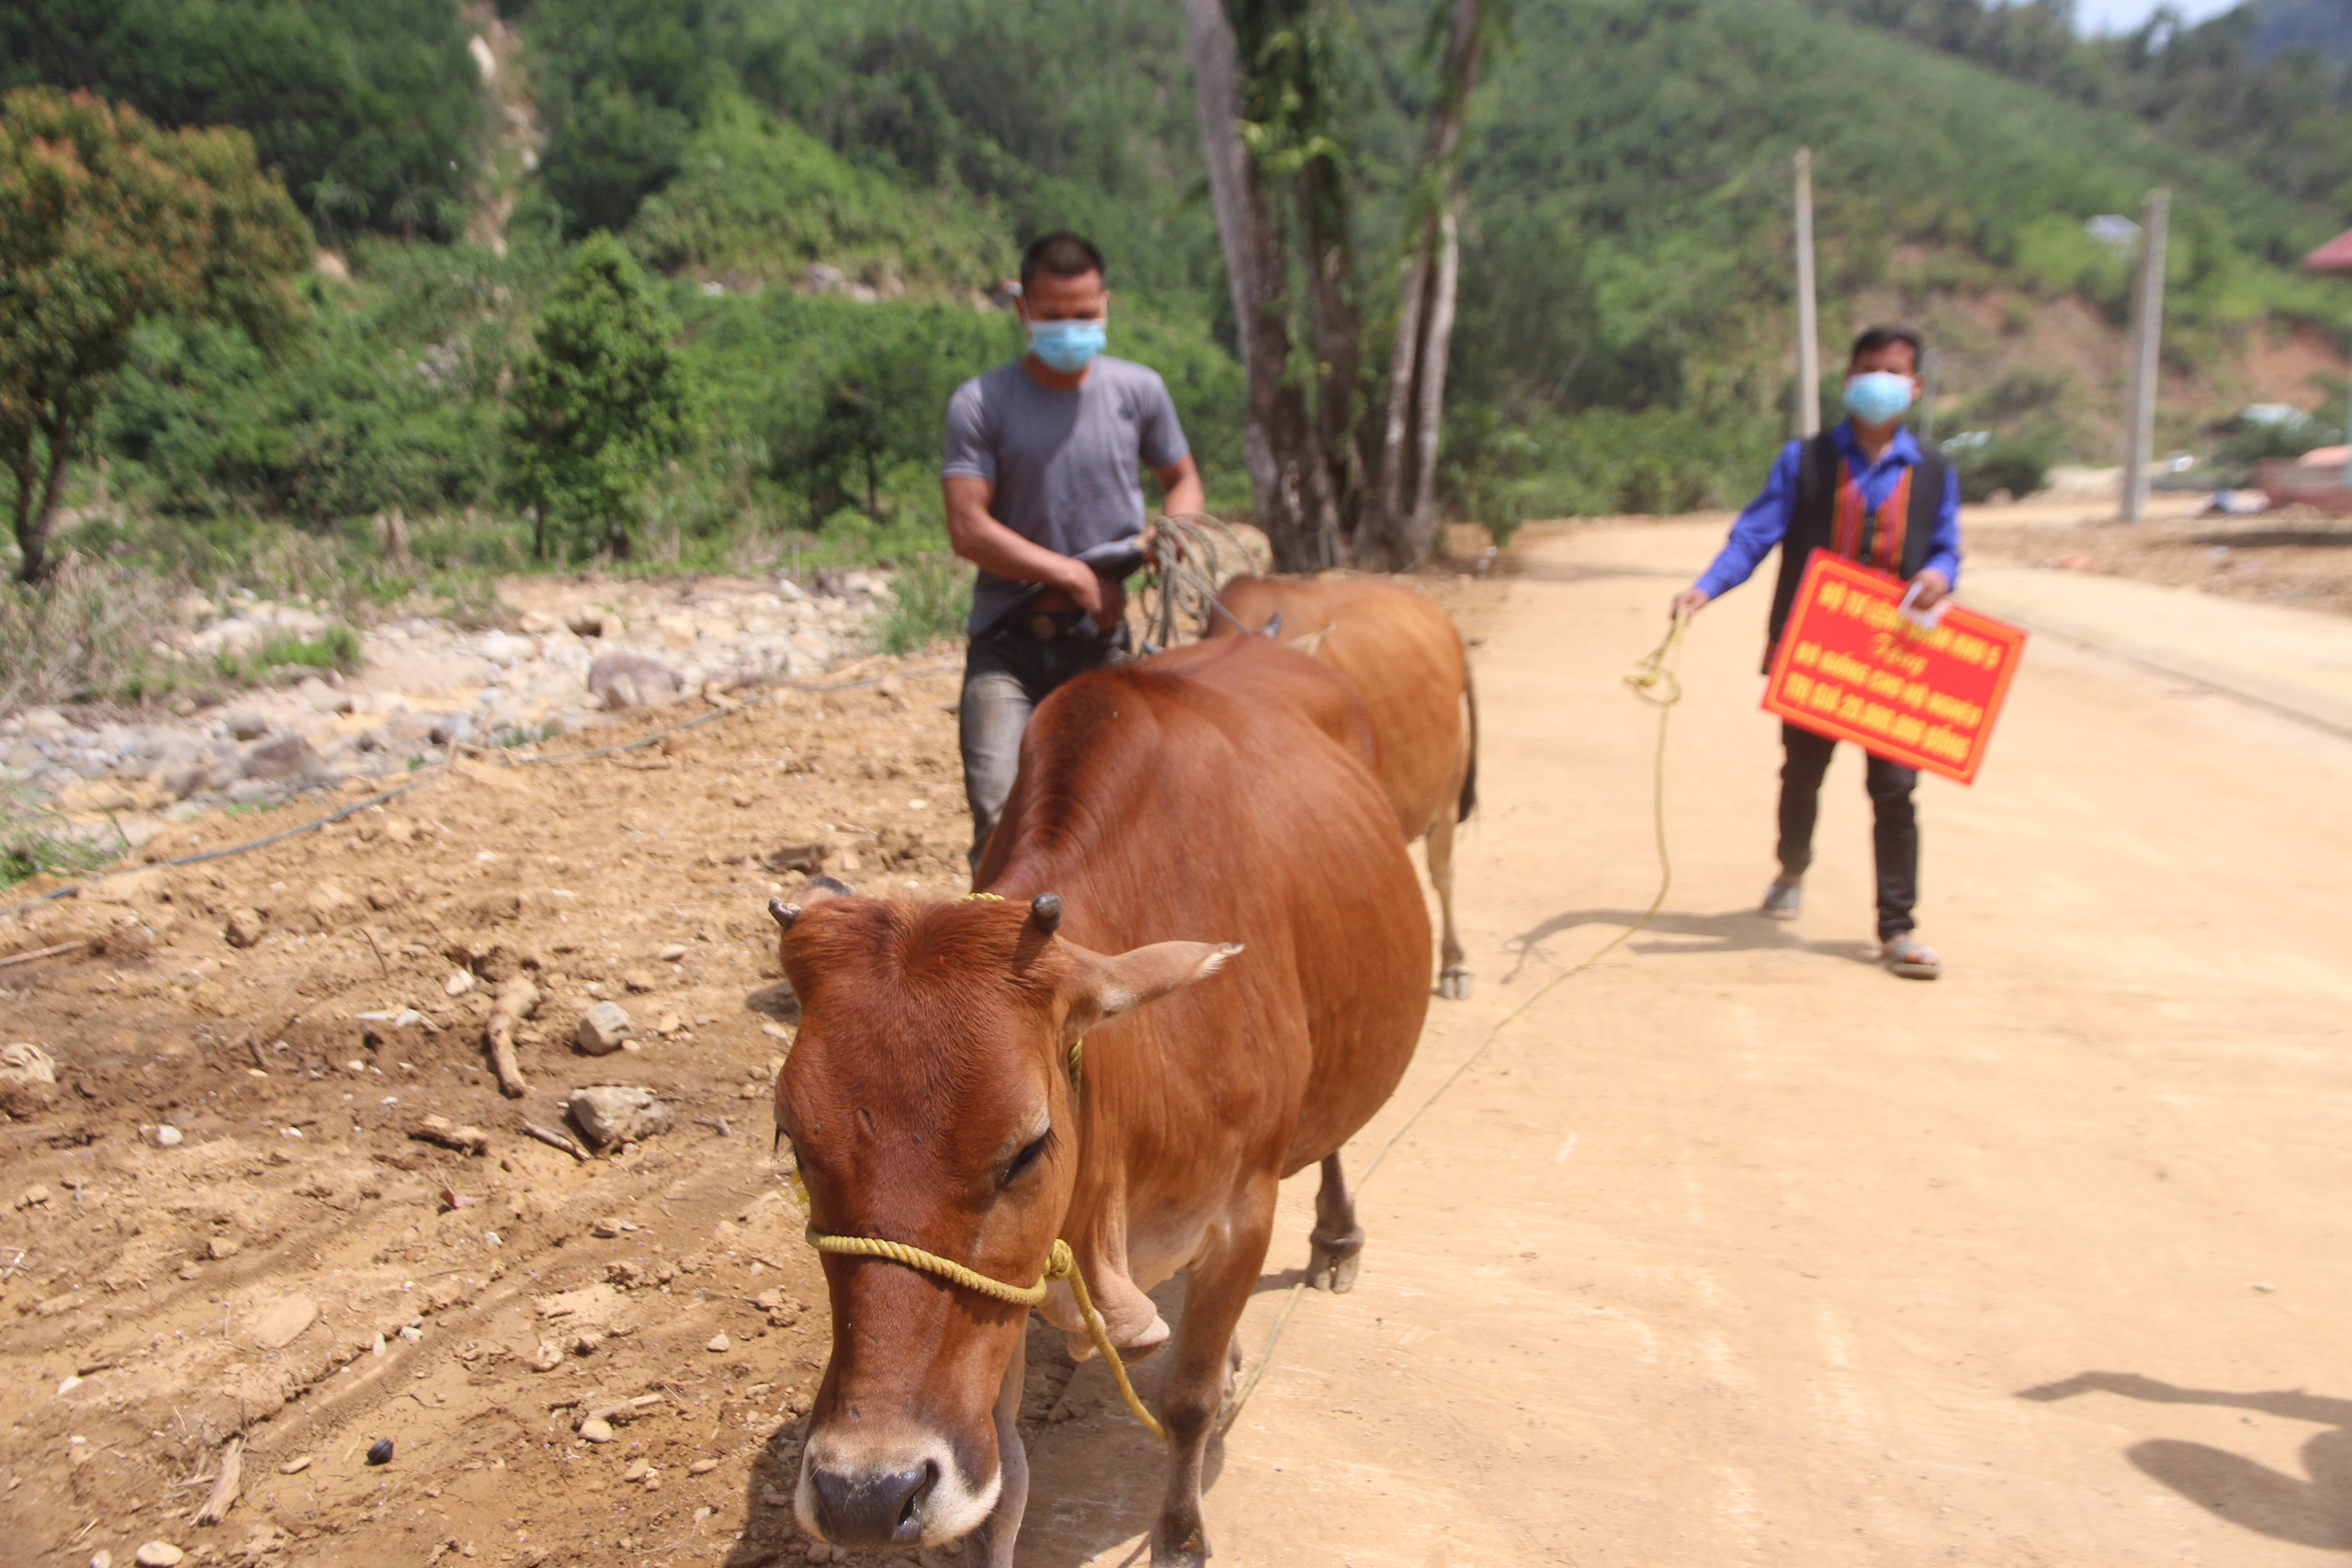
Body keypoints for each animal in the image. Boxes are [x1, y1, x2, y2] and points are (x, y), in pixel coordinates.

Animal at [780, 629, 1420, 1561]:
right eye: (795, 1144)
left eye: (1027, 1148)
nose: (866, 1491)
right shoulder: (1009, 1296)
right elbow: (1004, 1478)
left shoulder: (1245, 1210)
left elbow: (1186, 1399)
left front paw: (1181, 1534)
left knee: (1330, 1139)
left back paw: (1336, 1237)